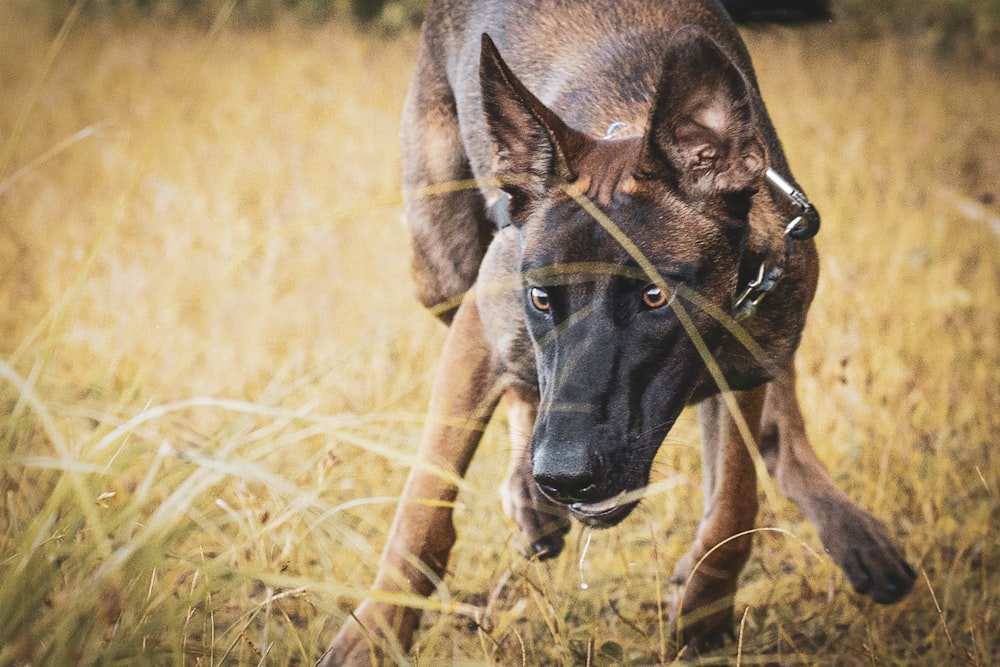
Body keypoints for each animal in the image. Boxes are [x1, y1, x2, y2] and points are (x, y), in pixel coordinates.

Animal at [322, 0, 916, 664]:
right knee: (518, 385)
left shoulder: (744, 361)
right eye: (541, 298)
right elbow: (423, 508)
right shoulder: (482, 328)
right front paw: (376, 631)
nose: (562, 476)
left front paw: (704, 609)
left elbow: (735, 502)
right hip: (441, 269)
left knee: (779, 429)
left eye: (655, 297)